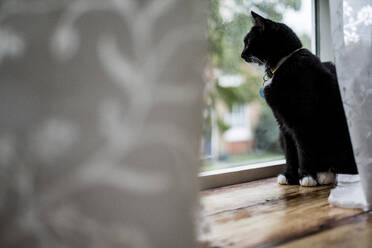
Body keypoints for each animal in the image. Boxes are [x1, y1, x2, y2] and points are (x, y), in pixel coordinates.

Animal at [241, 11, 358, 186]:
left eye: (248, 41)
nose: (241, 55)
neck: (284, 63)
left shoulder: (302, 120)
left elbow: (304, 148)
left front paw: (307, 176)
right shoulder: (283, 123)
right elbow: (291, 152)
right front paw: (290, 175)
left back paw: (325, 174)